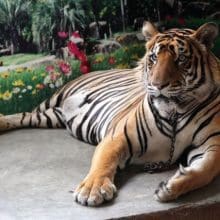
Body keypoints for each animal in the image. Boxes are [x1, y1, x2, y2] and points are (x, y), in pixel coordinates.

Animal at [0, 21, 219, 207]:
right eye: (154, 58)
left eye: (181, 59)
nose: (157, 85)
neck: (175, 112)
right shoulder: (118, 136)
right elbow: (104, 161)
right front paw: (92, 190)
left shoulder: (211, 144)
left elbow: (207, 169)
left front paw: (171, 187)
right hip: (54, 100)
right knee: (22, 113)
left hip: (52, 116)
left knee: (25, 117)